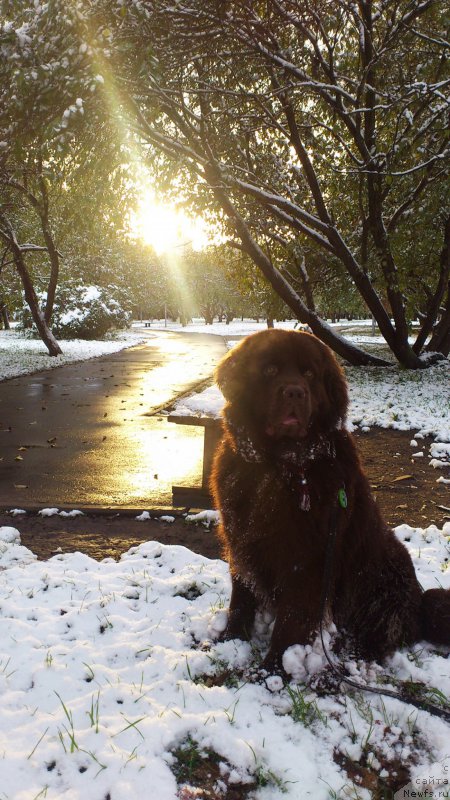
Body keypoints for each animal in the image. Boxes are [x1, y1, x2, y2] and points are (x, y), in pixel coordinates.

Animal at [211, 328, 450, 672]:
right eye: (269, 370)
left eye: (310, 374)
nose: (294, 392)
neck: (283, 465)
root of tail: (420, 608)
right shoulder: (241, 539)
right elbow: (241, 598)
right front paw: (230, 641)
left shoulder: (307, 558)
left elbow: (292, 619)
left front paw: (272, 669)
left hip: (380, 579)